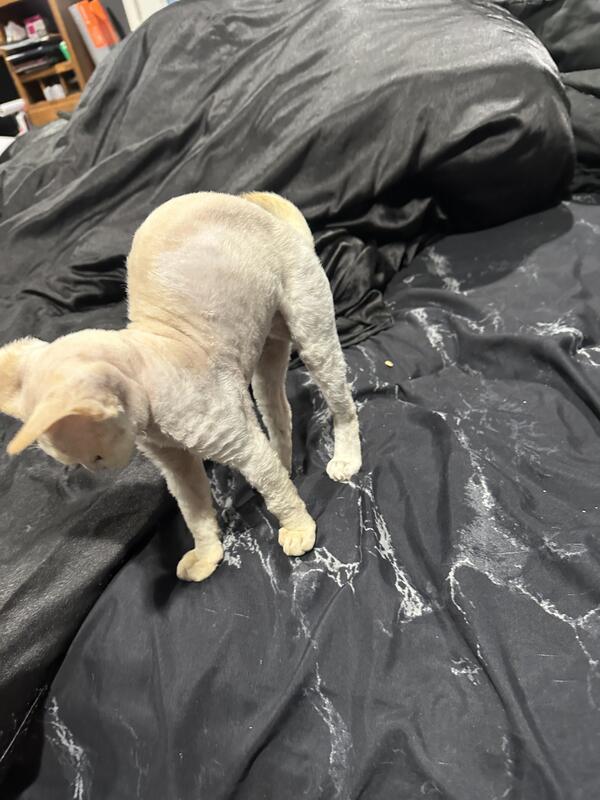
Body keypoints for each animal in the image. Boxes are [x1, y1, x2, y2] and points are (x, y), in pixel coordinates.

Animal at [0, 192, 361, 582]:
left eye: (93, 457)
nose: (96, 472)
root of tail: (277, 221)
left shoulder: (240, 444)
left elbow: (276, 491)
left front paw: (297, 527)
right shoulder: (177, 465)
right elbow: (195, 513)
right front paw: (206, 555)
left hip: (312, 336)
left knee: (342, 404)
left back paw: (345, 459)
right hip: (266, 351)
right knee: (277, 412)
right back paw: (283, 463)